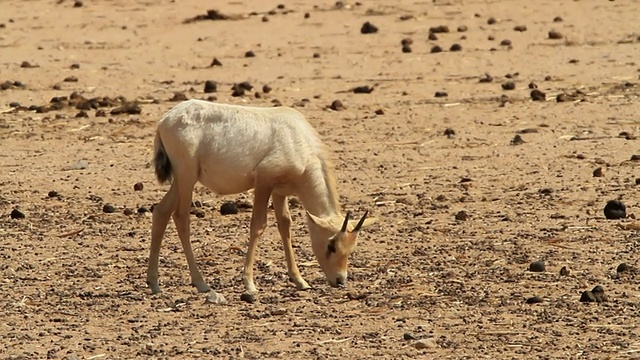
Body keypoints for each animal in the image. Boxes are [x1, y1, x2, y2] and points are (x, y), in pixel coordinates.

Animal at [146, 99, 376, 296]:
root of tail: (165, 121)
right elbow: (258, 225)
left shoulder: (279, 190)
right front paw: (249, 283)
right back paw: (201, 283)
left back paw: (154, 283)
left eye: (351, 248)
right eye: (331, 245)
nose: (340, 280)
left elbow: (285, 225)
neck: (296, 137)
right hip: (187, 177)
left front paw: (299, 280)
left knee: (161, 212)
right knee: (181, 217)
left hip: (180, 180)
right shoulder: (264, 182)